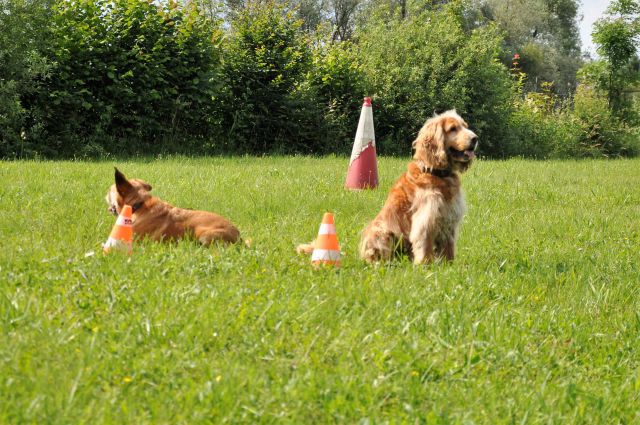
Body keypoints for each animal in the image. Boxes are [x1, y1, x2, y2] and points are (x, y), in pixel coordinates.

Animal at [360, 110, 476, 262]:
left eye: (465, 126)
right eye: (453, 129)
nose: (475, 138)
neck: (437, 173)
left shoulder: (449, 218)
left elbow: (448, 248)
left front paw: (448, 265)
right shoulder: (426, 219)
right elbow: (425, 247)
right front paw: (425, 264)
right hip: (380, 231)